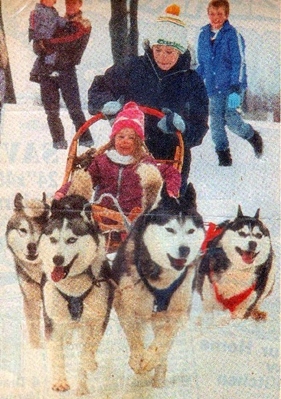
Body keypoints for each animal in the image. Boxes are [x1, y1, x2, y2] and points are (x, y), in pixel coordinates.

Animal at [38, 195, 113, 396]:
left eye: (72, 240)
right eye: (53, 239)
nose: (57, 259)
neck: (73, 284)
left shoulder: (97, 320)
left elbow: (88, 351)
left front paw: (83, 380)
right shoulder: (53, 320)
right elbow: (57, 353)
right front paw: (60, 382)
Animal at [110, 184, 205, 388]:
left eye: (191, 231)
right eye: (169, 229)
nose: (185, 249)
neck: (162, 278)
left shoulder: (177, 313)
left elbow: (162, 342)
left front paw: (149, 360)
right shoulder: (126, 307)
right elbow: (134, 336)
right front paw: (138, 358)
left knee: (164, 349)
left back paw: (158, 379)